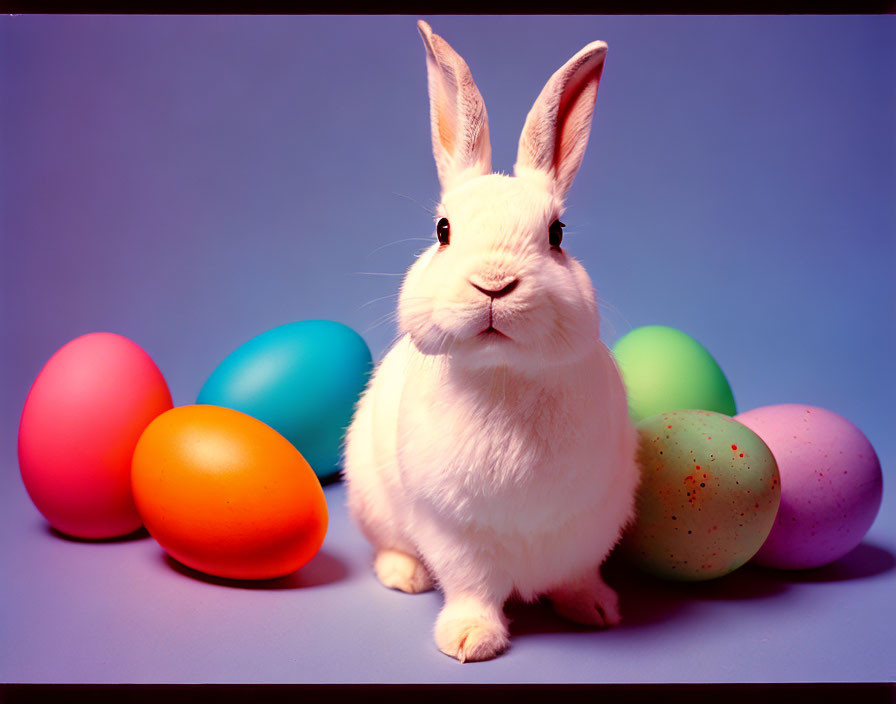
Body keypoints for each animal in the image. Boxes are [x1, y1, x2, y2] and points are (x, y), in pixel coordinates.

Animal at [340, 20, 640, 660]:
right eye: (442, 230)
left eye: (557, 234)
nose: (495, 284)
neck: (504, 372)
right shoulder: (453, 528)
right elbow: (471, 585)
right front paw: (470, 640)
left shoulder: (588, 523)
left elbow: (577, 574)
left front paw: (597, 611)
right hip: (373, 501)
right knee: (391, 547)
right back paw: (405, 575)